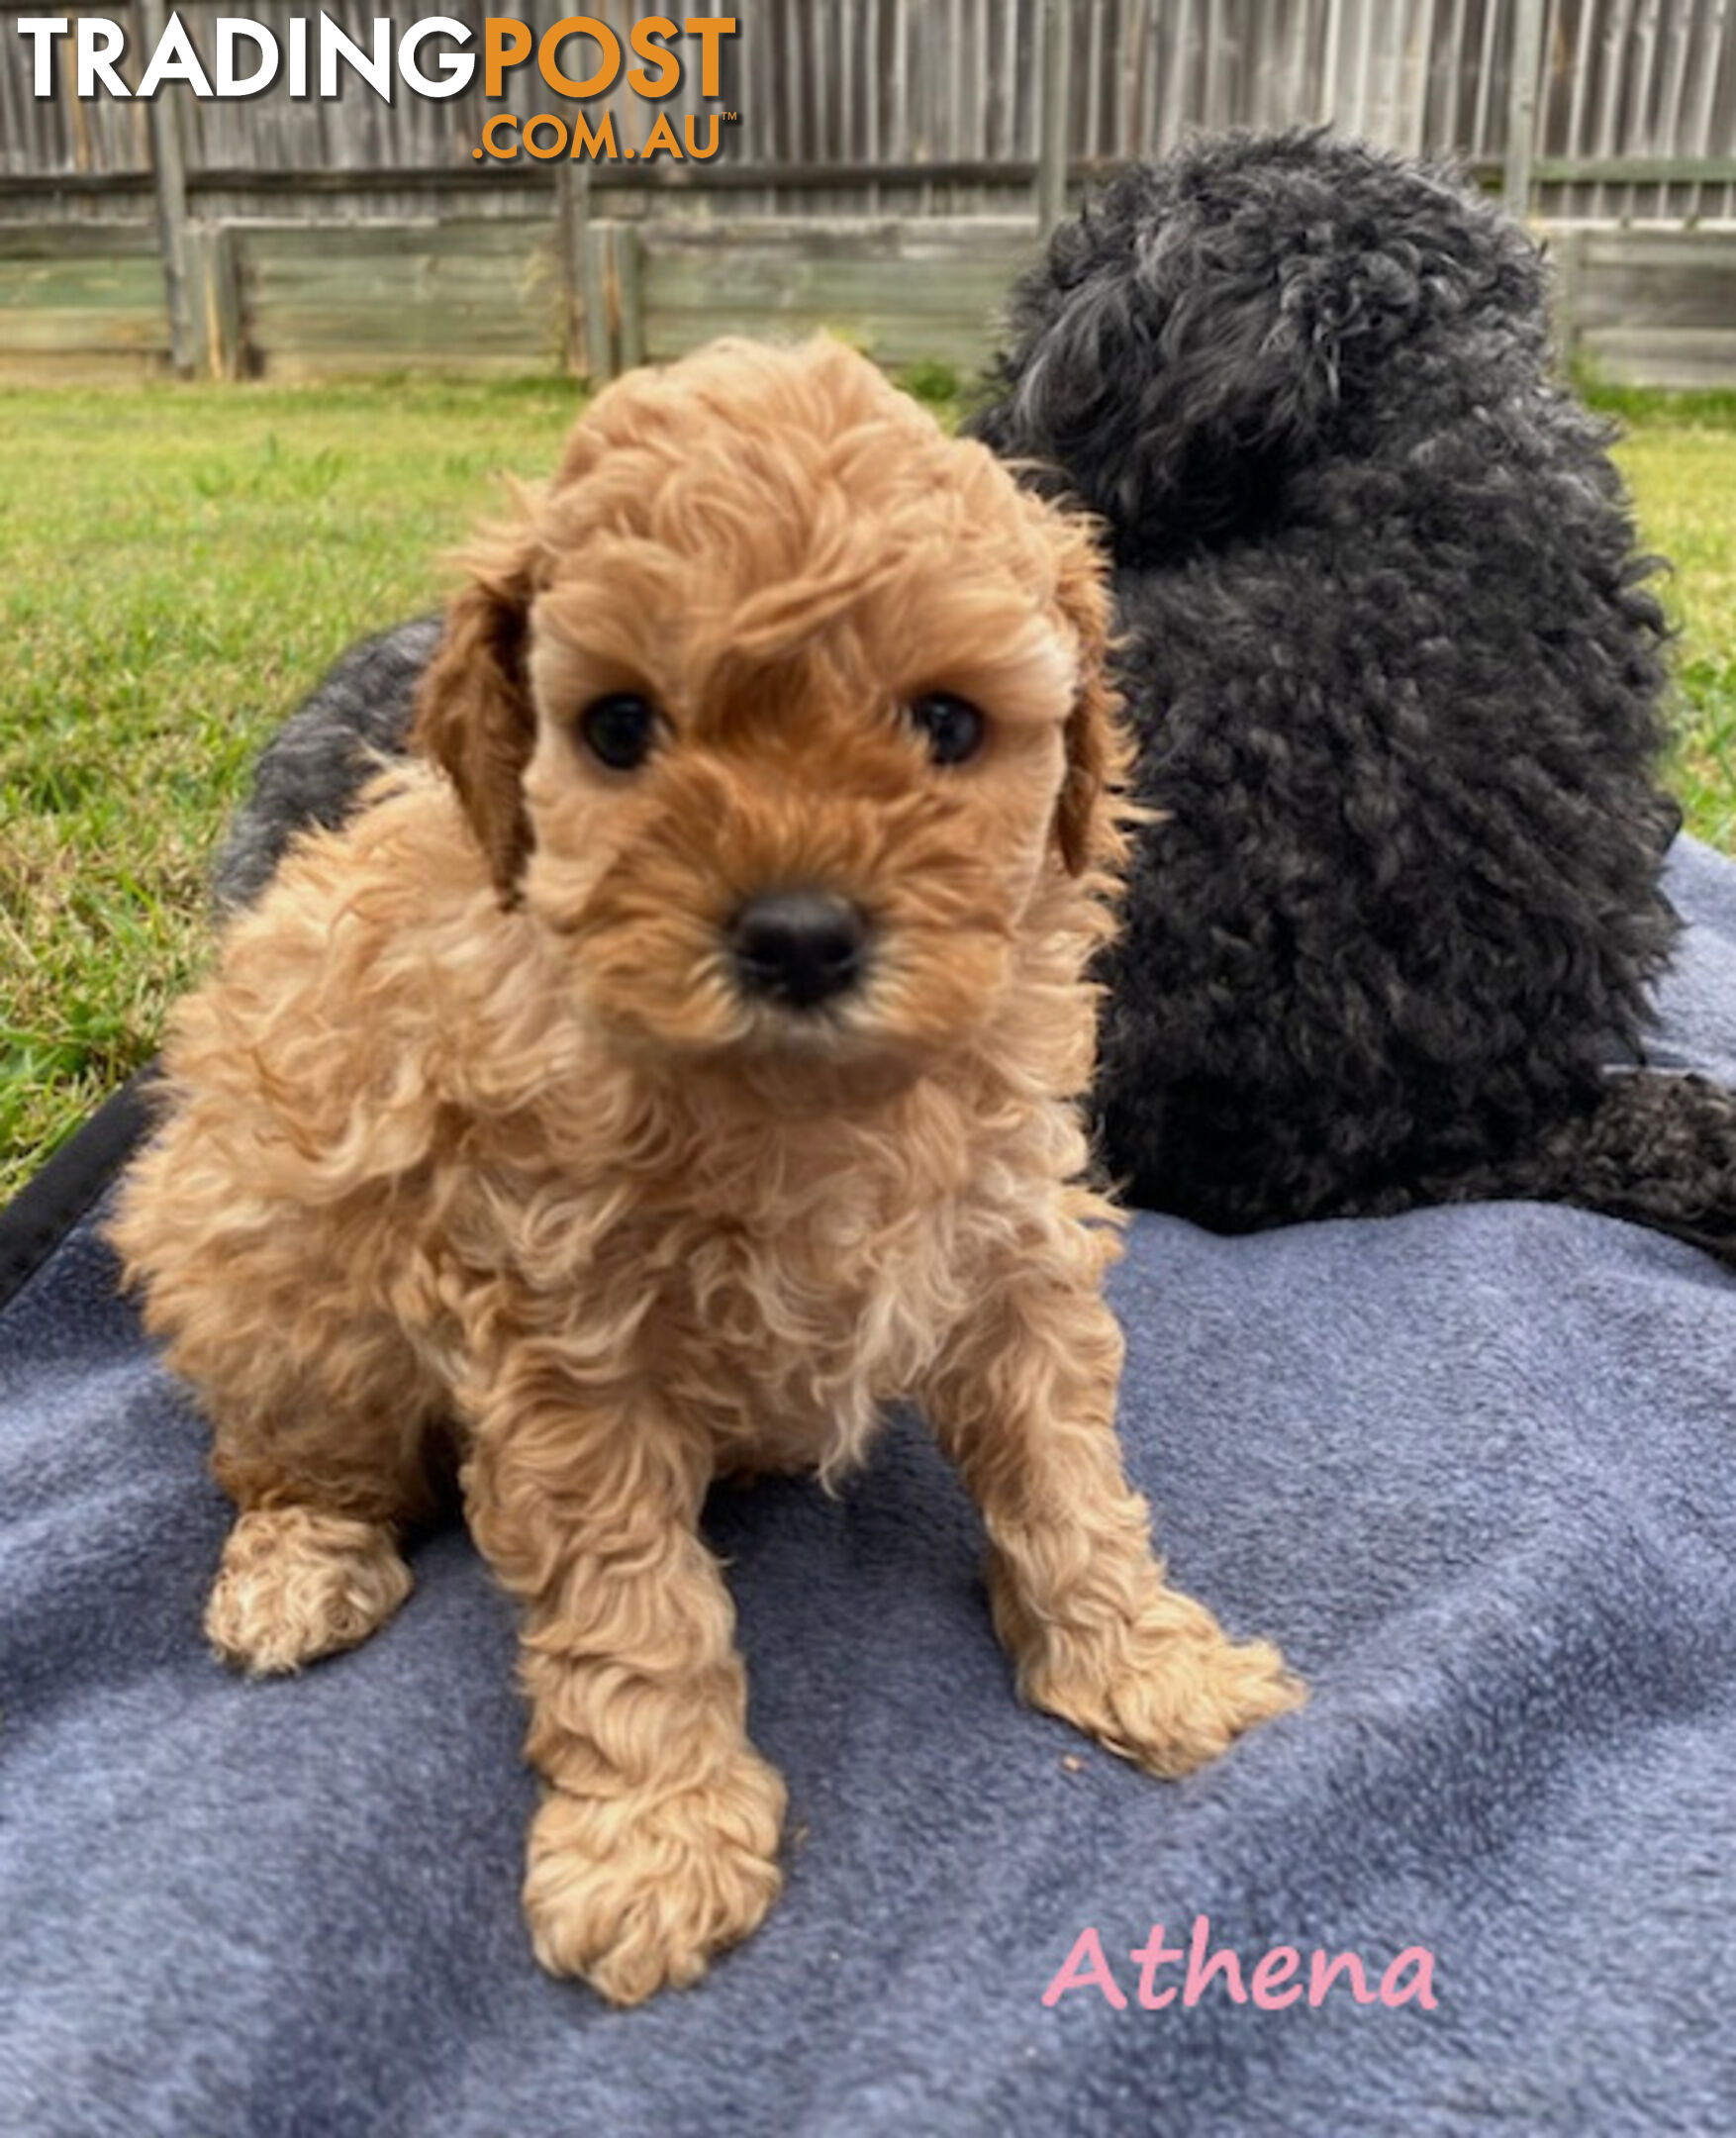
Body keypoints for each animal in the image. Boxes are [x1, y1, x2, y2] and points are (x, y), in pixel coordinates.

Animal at [108, 333, 1291, 2000]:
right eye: (619, 729)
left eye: (943, 724)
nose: (795, 935)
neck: (805, 1107)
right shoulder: (562, 1344)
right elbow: (633, 1606)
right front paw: (652, 1844)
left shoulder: (1009, 1241)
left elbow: (1068, 1477)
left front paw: (1141, 1659)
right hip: (279, 1291)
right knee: (284, 1460)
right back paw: (296, 1570)